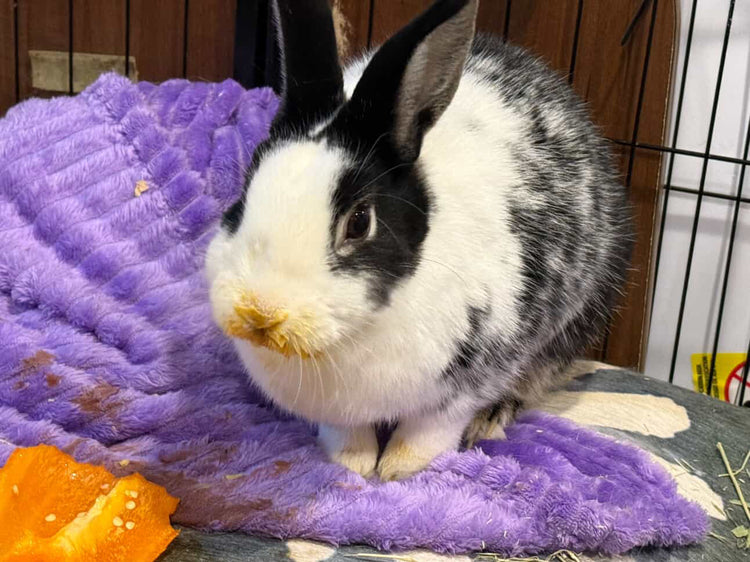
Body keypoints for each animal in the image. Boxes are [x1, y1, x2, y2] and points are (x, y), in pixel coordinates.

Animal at [205, 0, 633, 481]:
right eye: (244, 193)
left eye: (359, 223)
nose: (261, 313)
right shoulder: (338, 412)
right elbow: (345, 434)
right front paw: (351, 463)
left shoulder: (470, 379)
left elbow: (431, 430)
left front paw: (400, 470)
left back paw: (491, 419)